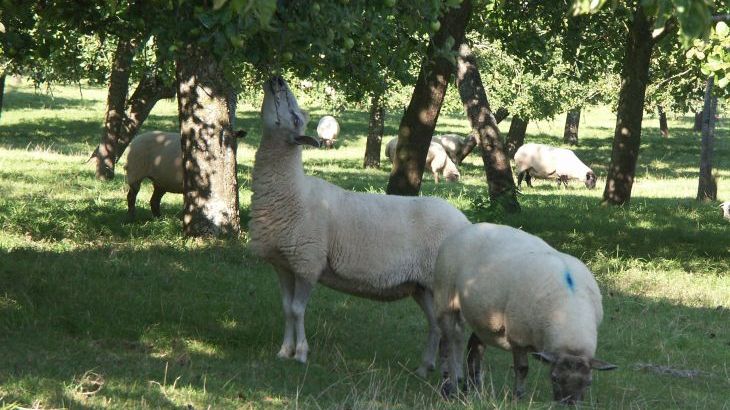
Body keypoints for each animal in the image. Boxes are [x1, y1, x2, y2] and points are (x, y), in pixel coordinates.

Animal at [247, 75, 470, 374]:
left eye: (294, 118)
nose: (278, 80)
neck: (293, 191)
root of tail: (467, 222)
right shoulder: (284, 263)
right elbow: (286, 308)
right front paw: (285, 351)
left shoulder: (308, 262)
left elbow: (296, 310)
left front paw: (301, 353)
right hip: (422, 286)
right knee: (436, 324)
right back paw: (425, 368)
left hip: (442, 286)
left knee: (454, 330)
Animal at [432, 223, 616, 402]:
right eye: (554, 378)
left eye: (589, 383)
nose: (569, 404)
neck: (569, 314)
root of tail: (465, 229)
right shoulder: (518, 336)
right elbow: (522, 368)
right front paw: (518, 397)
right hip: (445, 300)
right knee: (446, 346)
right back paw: (448, 388)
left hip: (485, 319)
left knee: (474, 348)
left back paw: (474, 389)